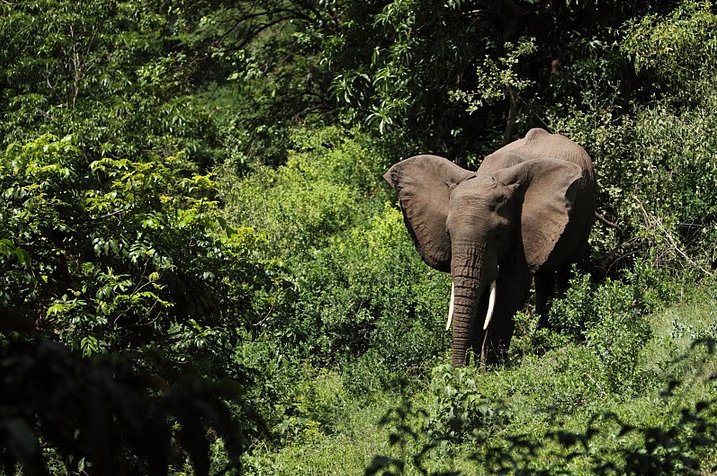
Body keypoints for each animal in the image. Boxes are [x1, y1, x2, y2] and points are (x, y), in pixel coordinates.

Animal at [384, 127, 596, 368]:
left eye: (498, 235)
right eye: (448, 233)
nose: (456, 369)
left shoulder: (521, 227)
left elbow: (510, 288)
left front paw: (491, 367)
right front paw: (475, 366)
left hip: (587, 206)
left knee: (569, 268)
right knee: (544, 275)